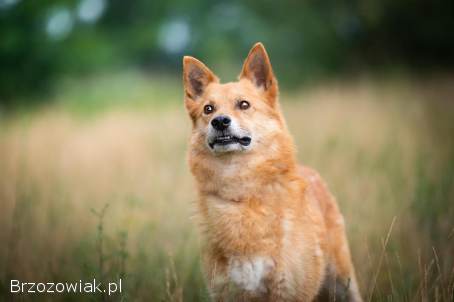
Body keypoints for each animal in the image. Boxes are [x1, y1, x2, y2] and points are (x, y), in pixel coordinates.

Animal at [183, 43, 364, 302]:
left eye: (244, 104)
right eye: (208, 109)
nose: (219, 121)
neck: (243, 195)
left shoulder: (288, 290)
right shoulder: (227, 292)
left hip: (343, 281)